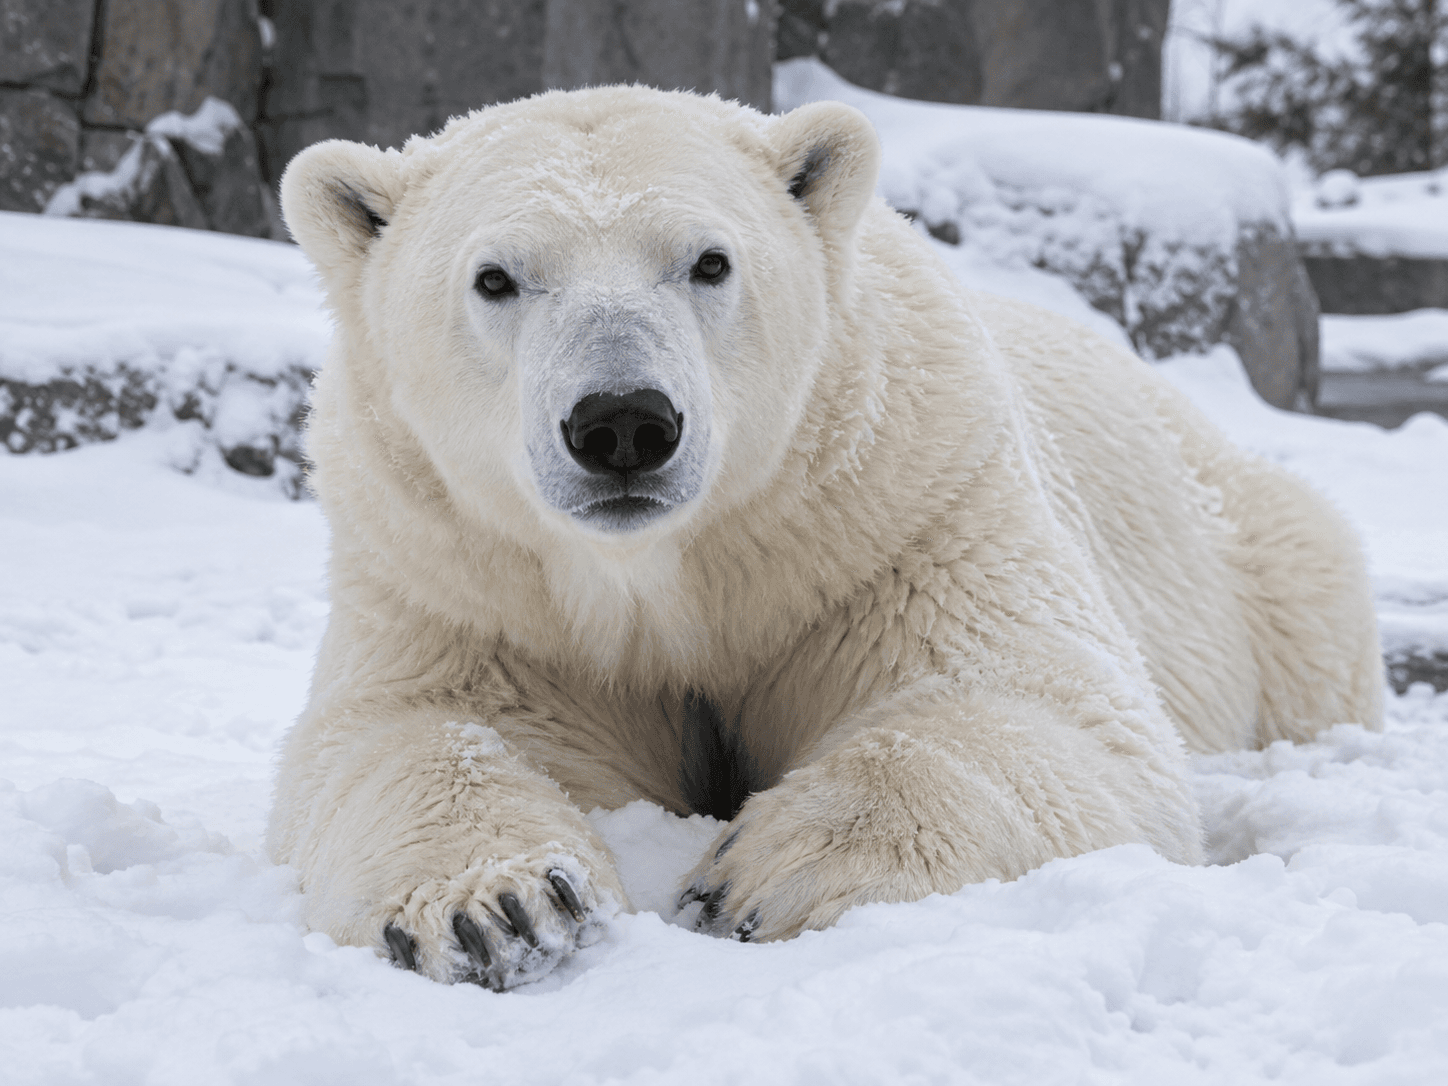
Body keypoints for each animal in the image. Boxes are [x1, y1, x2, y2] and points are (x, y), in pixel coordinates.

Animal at [270, 85, 1384, 989]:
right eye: (495, 277)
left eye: (708, 261)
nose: (623, 423)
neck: (671, 573)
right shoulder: (459, 577)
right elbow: (406, 728)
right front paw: (499, 908)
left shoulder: (897, 518)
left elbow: (1046, 701)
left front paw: (774, 876)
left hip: (1257, 557)